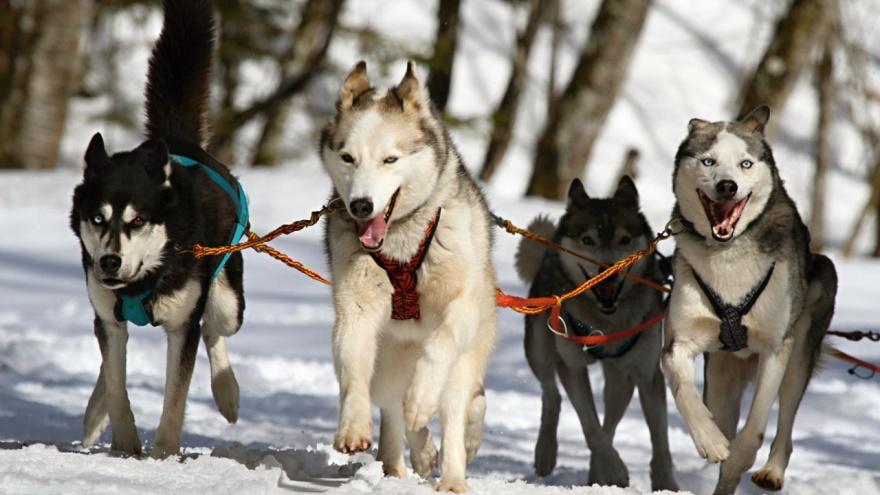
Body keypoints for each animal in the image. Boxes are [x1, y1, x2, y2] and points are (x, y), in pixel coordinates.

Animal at [69, 0, 244, 460]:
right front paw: (125, 444)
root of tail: (177, 142)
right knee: (108, 360)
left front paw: (164, 453)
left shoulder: (183, 325)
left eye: (137, 220)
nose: (110, 262)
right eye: (98, 218)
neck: (142, 282)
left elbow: (175, 397)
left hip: (227, 299)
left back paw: (227, 393)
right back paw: (94, 414)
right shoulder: (108, 315)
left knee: (215, 330)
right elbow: (117, 383)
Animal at [324, 62, 498, 492]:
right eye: (348, 157)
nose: (361, 205)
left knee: (453, 410)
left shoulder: (460, 308)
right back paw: (406, 460)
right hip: (387, 363)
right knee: (393, 409)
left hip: (465, 360)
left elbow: (439, 346)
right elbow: (352, 370)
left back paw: (451, 475)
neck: (400, 243)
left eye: (390, 159)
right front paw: (353, 426)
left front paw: (422, 398)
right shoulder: (355, 311)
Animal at [516, 176, 680, 490]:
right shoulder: (572, 367)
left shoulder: (647, 374)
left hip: (621, 379)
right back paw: (546, 453)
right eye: (587, 240)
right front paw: (615, 470)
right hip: (539, 349)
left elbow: (660, 440)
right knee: (551, 395)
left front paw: (666, 483)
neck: (606, 322)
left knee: (611, 420)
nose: (609, 270)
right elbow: (590, 427)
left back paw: (596, 474)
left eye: (624, 240)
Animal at [660, 106, 840, 494]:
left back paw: (771, 471)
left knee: (785, 421)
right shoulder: (678, 342)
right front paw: (710, 441)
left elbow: (756, 426)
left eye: (745, 164)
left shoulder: (775, 347)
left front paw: (741, 455)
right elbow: (685, 393)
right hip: (721, 377)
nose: (727, 186)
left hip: (801, 348)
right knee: (721, 412)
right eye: (708, 161)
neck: (728, 255)